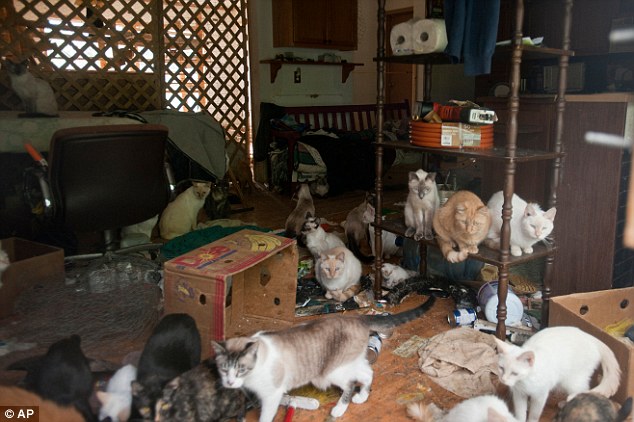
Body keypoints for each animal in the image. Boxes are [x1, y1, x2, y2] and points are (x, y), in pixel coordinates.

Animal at [210, 296, 432, 422]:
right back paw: (362, 397)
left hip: (331, 373)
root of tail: (357, 318)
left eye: (240, 368)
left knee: (351, 384)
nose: (229, 382)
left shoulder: (271, 395)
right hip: (351, 362)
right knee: (367, 373)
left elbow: (265, 416)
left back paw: (339, 410)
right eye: (223, 369)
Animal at [492, 326, 620, 422]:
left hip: (572, 381)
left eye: (514, 373)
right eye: (501, 368)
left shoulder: (540, 396)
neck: (525, 381)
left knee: (582, 391)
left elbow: (534, 414)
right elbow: (520, 413)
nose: (503, 380)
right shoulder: (519, 394)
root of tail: (591, 337)